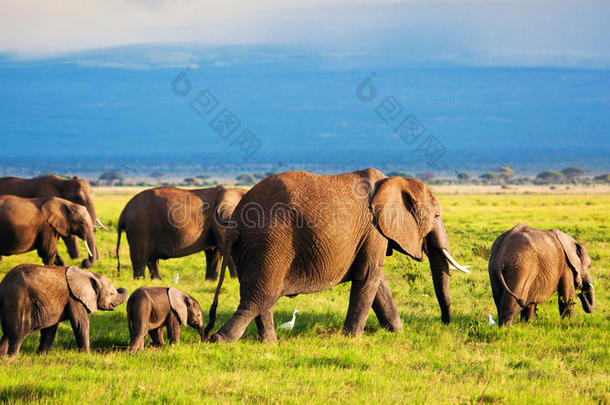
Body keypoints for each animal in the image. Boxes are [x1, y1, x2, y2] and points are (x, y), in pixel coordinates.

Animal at [0, 264, 128, 356]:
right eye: (112, 293)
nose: (120, 287)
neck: (88, 274)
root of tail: (3, 284)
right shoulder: (74, 298)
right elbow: (80, 323)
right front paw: (87, 355)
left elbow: (50, 328)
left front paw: (42, 356)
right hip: (18, 302)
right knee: (17, 334)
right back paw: (12, 358)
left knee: (6, 334)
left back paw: (3, 358)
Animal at [116, 185, 245, 278]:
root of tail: (124, 211)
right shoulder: (224, 222)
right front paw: (235, 280)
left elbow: (213, 253)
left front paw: (210, 281)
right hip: (140, 227)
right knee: (141, 258)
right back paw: (141, 281)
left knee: (152, 260)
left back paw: (156, 281)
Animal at [207, 167, 468, 340]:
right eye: (437, 216)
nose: (445, 323)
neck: (393, 181)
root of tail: (236, 219)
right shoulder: (374, 230)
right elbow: (369, 277)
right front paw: (351, 339)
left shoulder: (371, 236)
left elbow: (379, 283)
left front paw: (396, 332)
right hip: (271, 244)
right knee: (259, 297)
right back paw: (221, 340)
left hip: (253, 248)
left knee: (262, 298)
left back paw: (269, 344)